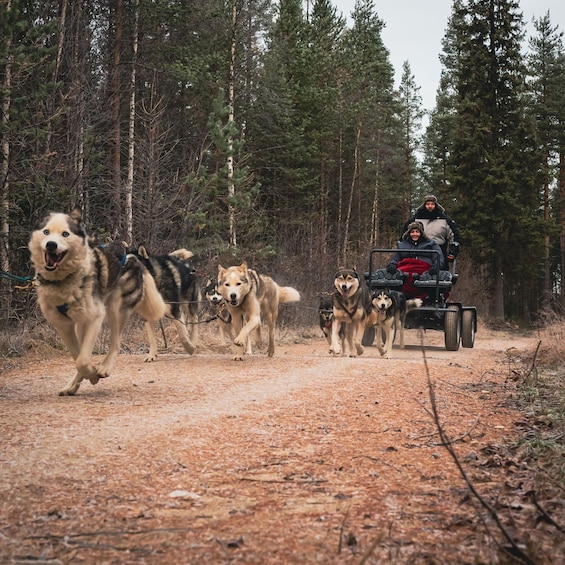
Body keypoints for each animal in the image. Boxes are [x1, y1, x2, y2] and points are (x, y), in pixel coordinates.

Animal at [29, 205, 165, 394]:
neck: (64, 282)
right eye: (46, 232)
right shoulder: (63, 325)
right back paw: (72, 386)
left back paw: (104, 368)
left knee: (115, 343)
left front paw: (93, 374)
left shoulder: (95, 318)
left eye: (65, 234)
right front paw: (86, 376)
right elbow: (77, 356)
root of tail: (134, 258)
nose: (51, 244)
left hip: (115, 309)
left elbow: (82, 360)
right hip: (81, 324)